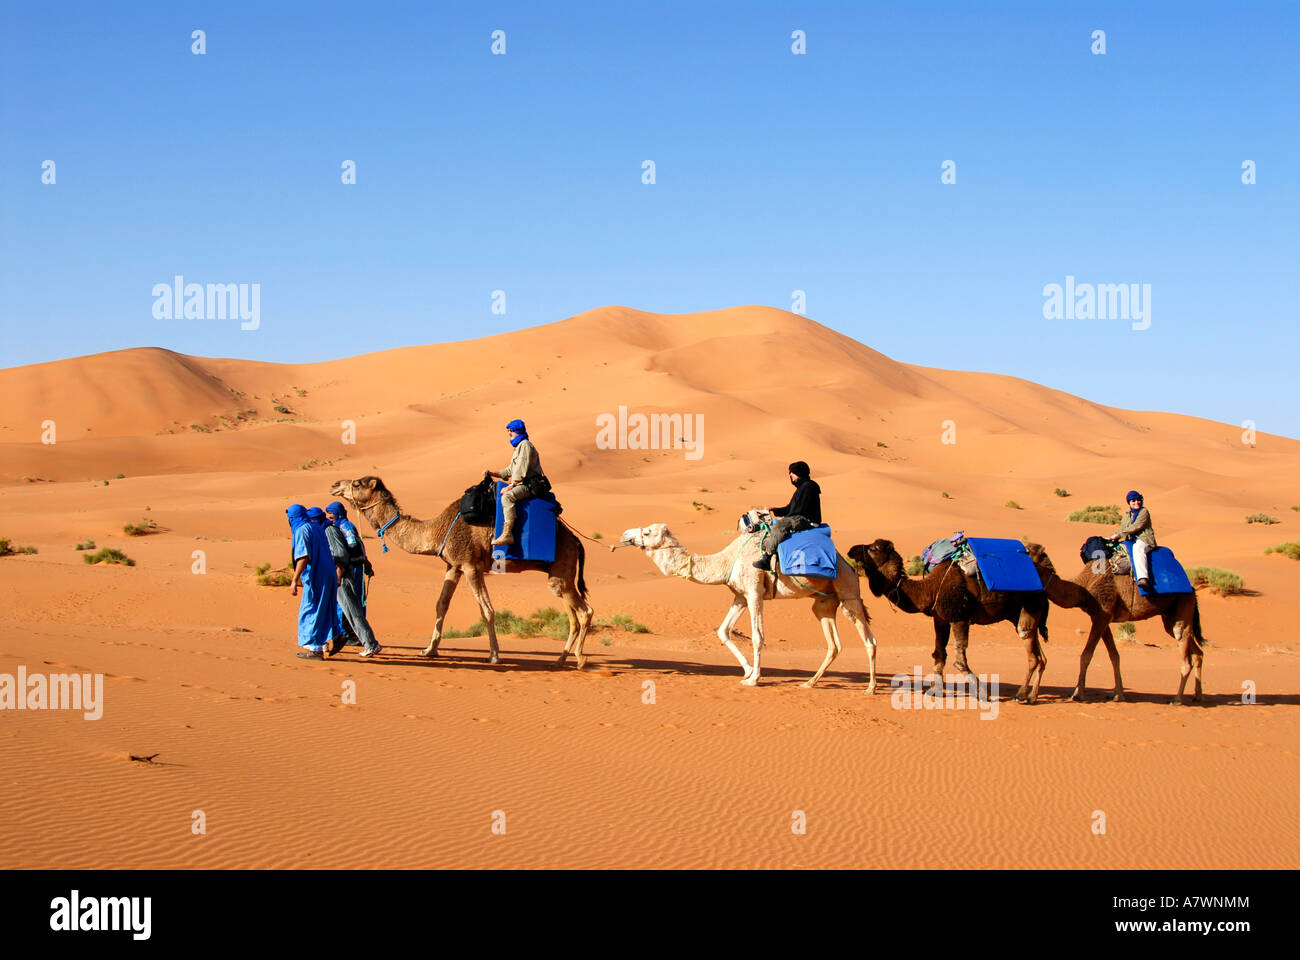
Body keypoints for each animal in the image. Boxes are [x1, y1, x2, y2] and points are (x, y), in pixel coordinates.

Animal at [335, 473, 598, 666]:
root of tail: (576, 540)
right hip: (559, 576)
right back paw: (560, 660)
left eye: (357, 483)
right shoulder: (453, 566)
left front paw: (494, 656)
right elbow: (441, 605)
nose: (336, 485)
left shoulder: (471, 566)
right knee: (573, 616)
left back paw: (580, 659)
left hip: (561, 569)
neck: (437, 530)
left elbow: (487, 611)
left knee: (585, 611)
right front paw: (429, 650)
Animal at [613, 515, 878, 686]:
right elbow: (723, 631)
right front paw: (748, 671)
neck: (727, 560)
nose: (625, 534)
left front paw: (754, 679)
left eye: (647, 532)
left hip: (848, 592)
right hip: (824, 603)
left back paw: (871, 687)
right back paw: (810, 683)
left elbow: (758, 636)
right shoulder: (740, 595)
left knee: (869, 639)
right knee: (834, 644)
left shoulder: (753, 591)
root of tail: (848, 566)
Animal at [847, 538, 1050, 702]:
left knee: (1032, 654)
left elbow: (959, 660)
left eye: (873, 548)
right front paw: (935, 691)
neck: (929, 589)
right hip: (1019, 615)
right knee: (1041, 656)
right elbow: (939, 654)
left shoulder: (959, 618)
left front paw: (982, 693)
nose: (851, 550)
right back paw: (1032, 696)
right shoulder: (940, 619)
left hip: (1030, 608)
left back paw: (1021, 695)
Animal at [1024, 538, 1206, 702]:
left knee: (1185, 655)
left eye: (1027, 551)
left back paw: (1177, 698)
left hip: (1182, 605)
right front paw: (1118, 694)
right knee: (1197, 652)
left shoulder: (1102, 615)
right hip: (1171, 617)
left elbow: (1086, 655)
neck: (1083, 588)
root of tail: (1192, 588)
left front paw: (1077, 694)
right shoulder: (1102, 617)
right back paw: (1197, 696)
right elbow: (1114, 656)